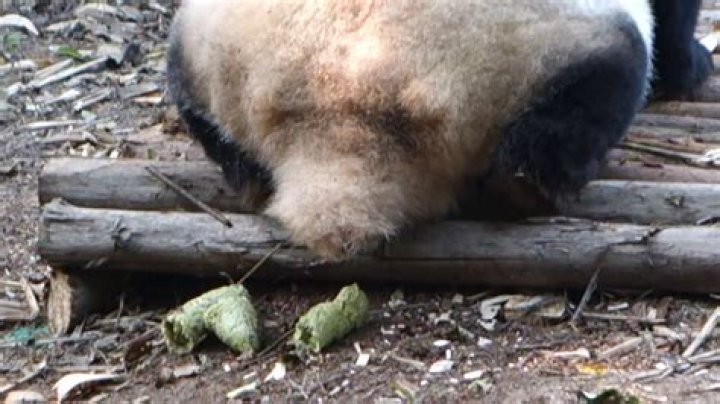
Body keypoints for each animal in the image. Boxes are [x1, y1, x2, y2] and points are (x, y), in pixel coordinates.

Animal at [167, 0, 712, 261]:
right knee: (595, 90)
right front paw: (692, 67)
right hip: (528, 47)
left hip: (212, 42)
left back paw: (247, 174)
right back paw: (527, 191)